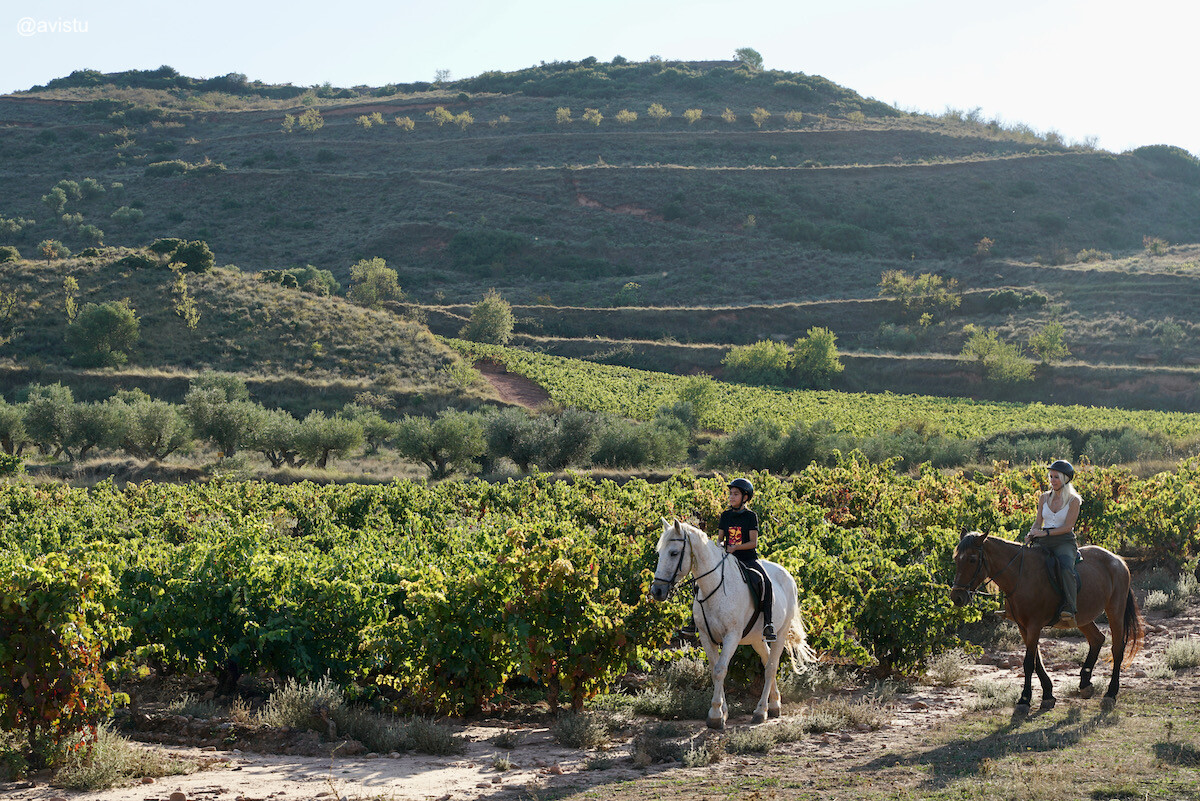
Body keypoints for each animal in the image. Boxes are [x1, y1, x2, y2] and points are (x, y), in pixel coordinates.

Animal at [648, 515, 816, 729]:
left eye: (674, 552)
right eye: (659, 552)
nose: (657, 591)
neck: (714, 586)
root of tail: (788, 575)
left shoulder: (732, 636)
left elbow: (721, 670)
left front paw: (715, 715)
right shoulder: (706, 636)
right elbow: (714, 670)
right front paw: (723, 712)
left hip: (780, 633)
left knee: (771, 667)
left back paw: (761, 711)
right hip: (756, 639)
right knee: (766, 661)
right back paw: (774, 704)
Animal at [945, 534, 1142, 709]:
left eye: (972, 559)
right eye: (955, 559)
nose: (957, 597)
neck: (1020, 575)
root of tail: (1118, 560)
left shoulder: (1034, 625)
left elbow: (1028, 663)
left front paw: (1024, 699)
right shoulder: (1023, 626)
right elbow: (1036, 661)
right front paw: (1047, 694)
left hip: (1115, 610)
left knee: (1117, 648)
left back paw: (1111, 693)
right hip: (1082, 618)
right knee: (1097, 639)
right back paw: (1085, 684)